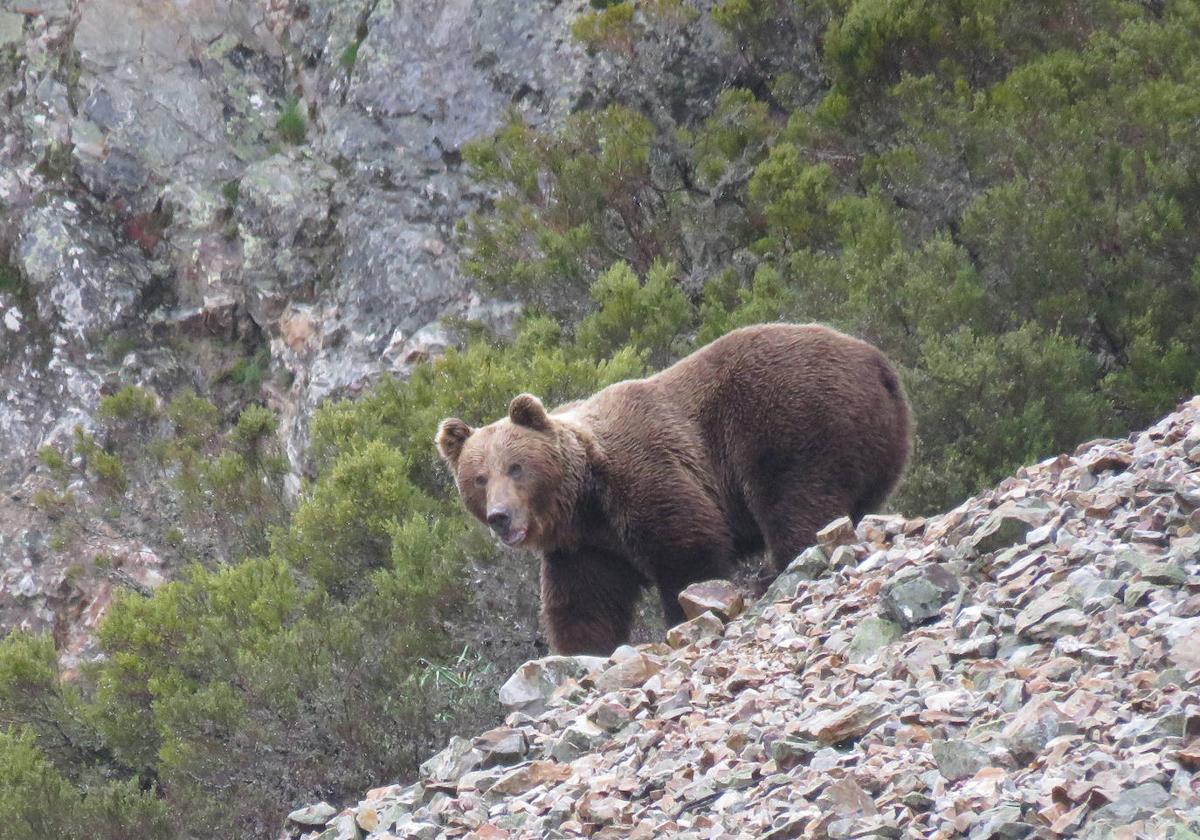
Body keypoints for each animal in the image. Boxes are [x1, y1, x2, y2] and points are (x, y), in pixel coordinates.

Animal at [436, 321, 912, 657]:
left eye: (515, 467)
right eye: (479, 478)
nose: (500, 517)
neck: (585, 500)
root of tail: (878, 362)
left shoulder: (647, 474)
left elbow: (687, 550)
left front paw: (687, 615)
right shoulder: (586, 547)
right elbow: (583, 603)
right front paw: (581, 652)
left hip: (793, 420)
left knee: (798, 503)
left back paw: (780, 571)